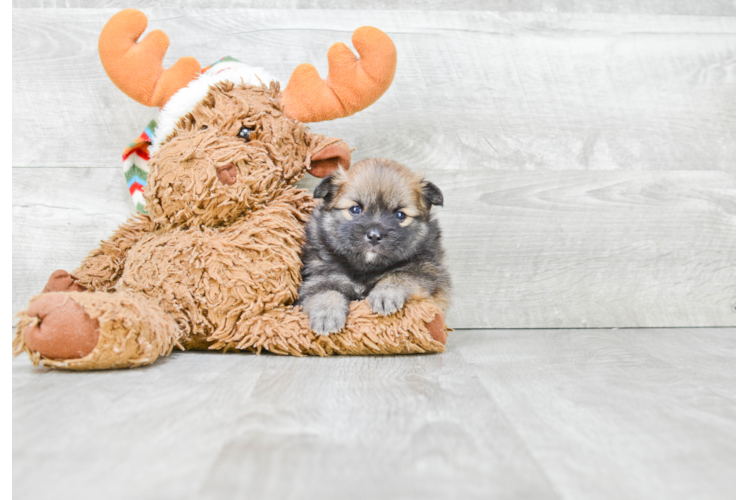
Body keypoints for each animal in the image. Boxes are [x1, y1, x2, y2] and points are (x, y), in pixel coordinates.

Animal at [298, 158, 450, 334]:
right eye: (355, 209)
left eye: (400, 215)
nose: (374, 236)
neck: (366, 268)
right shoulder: (320, 276)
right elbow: (325, 291)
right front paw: (326, 313)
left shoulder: (430, 272)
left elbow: (402, 274)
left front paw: (386, 294)